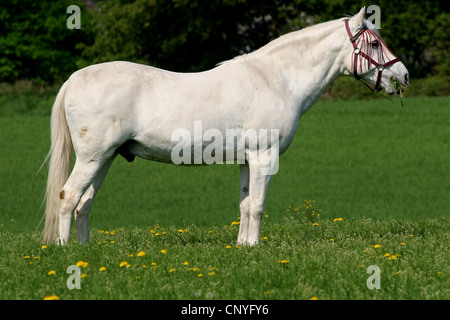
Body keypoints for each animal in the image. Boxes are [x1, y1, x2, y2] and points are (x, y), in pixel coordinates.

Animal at [41, 8, 408, 246]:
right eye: (374, 44)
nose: (403, 75)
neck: (279, 79)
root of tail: (73, 80)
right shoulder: (264, 157)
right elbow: (258, 205)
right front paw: (255, 247)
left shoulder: (247, 160)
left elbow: (245, 204)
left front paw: (243, 246)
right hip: (92, 158)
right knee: (68, 197)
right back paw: (67, 251)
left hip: (105, 159)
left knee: (84, 204)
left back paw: (86, 250)